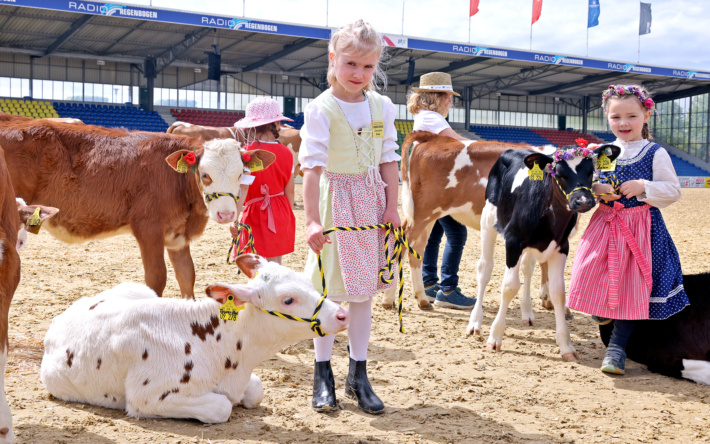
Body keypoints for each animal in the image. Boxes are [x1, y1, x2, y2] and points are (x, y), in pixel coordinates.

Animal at [0, 116, 276, 300]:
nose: (226, 213)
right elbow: (156, 279)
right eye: (205, 174)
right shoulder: (148, 228)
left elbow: (187, 276)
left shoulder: (177, 235)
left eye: (241, 173)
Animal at [40, 253, 352, 424]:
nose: (341, 314)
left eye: (310, 282)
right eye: (288, 299)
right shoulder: (147, 398)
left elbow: (255, 390)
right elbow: (221, 407)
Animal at [464, 144, 620, 362]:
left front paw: (566, 345)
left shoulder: (561, 247)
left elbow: (558, 292)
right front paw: (495, 337)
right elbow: (509, 287)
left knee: (527, 268)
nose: (583, 201)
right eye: (560, 174)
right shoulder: (513, 241)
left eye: (591, 172)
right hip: (488, 220)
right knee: (485, 269)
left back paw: (527, 312)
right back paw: (475, 323)